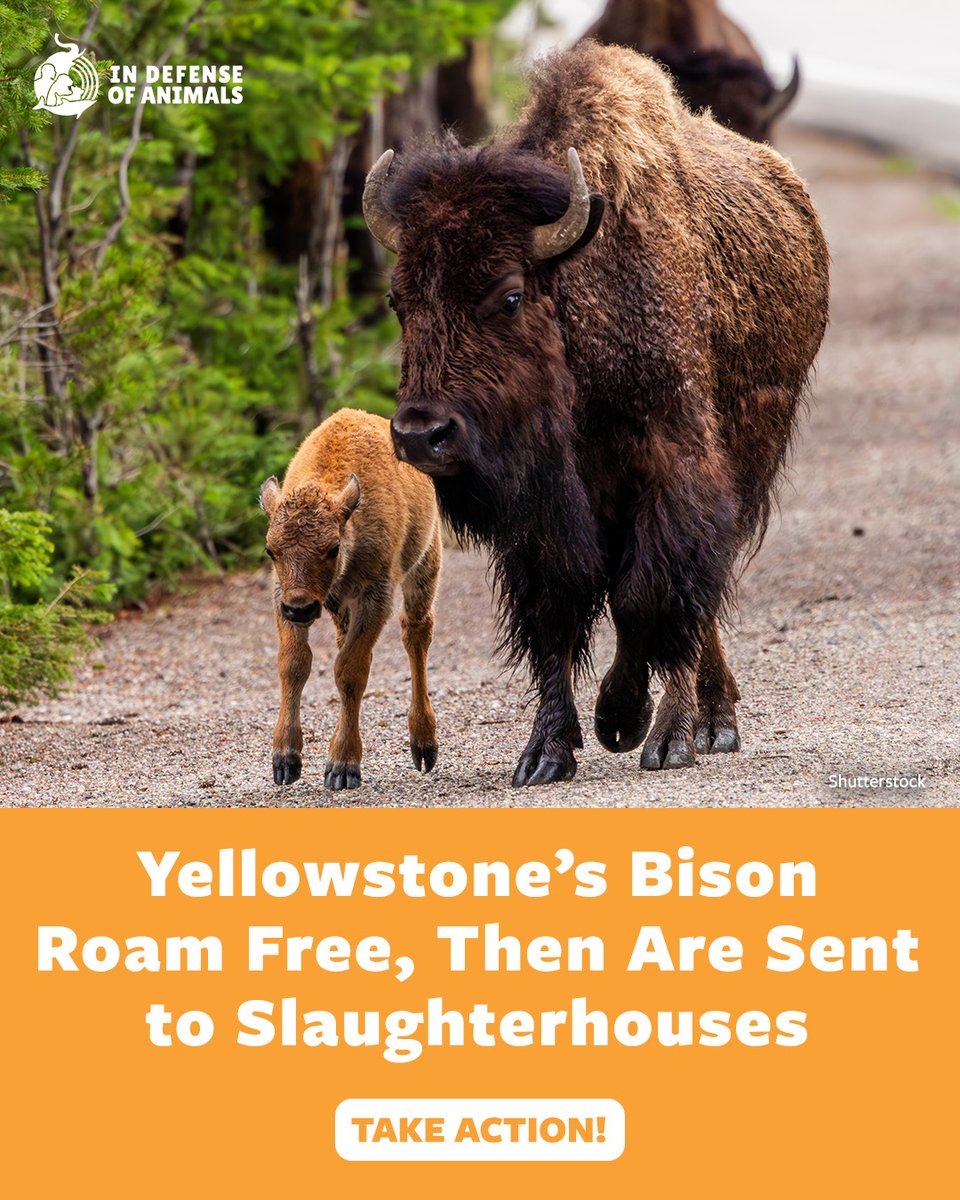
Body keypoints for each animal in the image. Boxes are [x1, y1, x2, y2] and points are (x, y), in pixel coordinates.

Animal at [365, 42, 829, 787]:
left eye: (511, 295)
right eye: (397, 299)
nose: (420, 434)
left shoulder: (673, 469)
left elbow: (648, 595)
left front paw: (626, 719)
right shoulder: (545, 510)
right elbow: (556, 613)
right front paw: (544, 754)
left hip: (750, 454)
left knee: (695, 599)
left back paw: (697, 728)